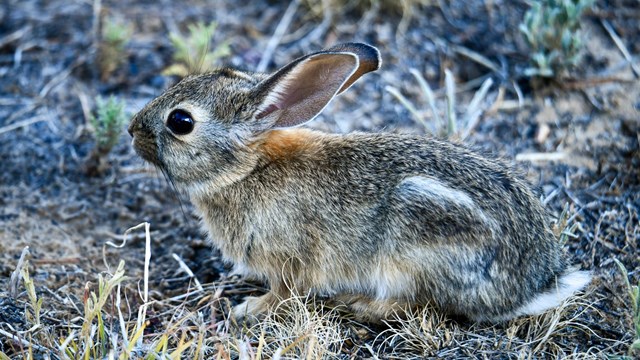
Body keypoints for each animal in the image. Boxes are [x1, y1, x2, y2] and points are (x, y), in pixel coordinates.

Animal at [127, 43, 592, 324]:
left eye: (180, 121)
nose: (132, 131)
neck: (248, 168)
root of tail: (531, 287)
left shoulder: (290, 260)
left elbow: (285, 293)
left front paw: (249, 308)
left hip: (418, 238)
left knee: (419, 303)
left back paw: (360, 303)